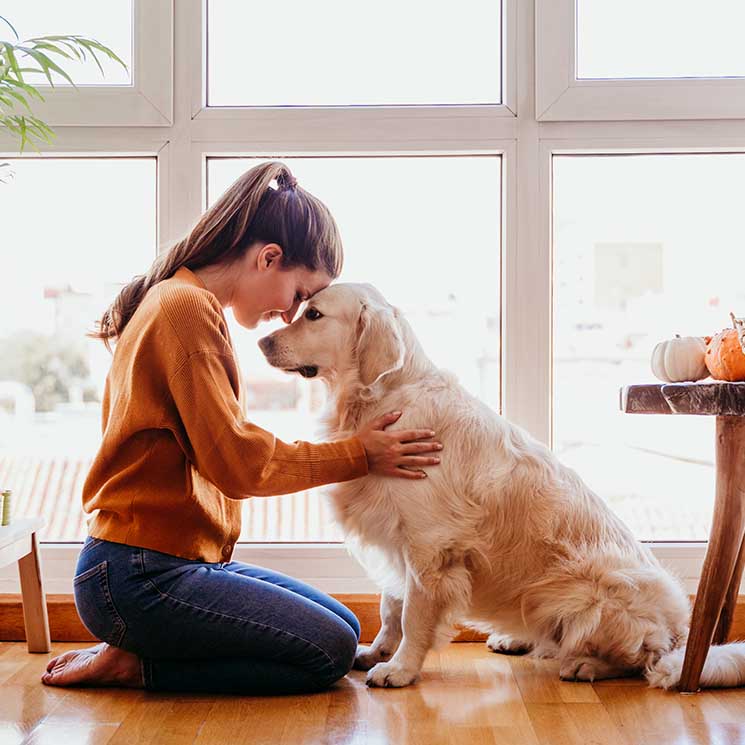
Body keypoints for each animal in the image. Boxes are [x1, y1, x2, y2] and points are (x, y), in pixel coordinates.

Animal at [258, 282, 744, 688]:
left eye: (314, 314)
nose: (261, 341)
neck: (382, 399)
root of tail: (681, 632)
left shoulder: (429, 545)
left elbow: (413, 614)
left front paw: (399, 669)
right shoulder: (396, 539)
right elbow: (390, 606)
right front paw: (378, 651)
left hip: (591, 590)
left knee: (639, 658)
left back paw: (585, 665)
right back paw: (518, 640)